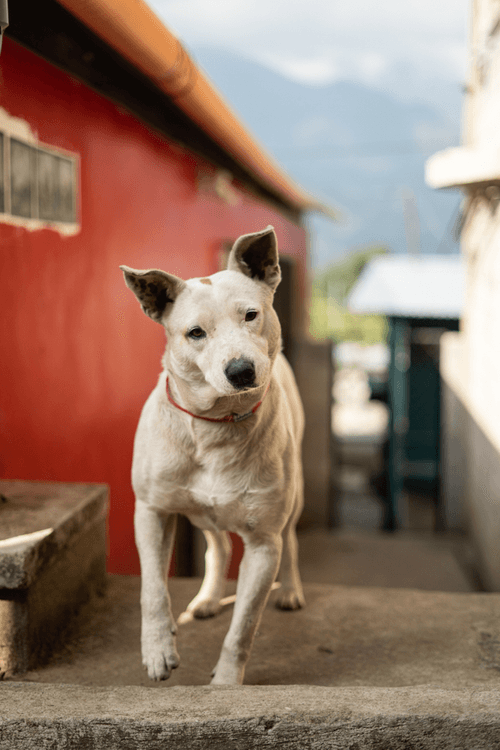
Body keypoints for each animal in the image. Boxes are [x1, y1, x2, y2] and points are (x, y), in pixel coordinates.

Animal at [121, 225, 304, 688]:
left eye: (251, 315)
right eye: (195, 333)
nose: (241, 371)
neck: (215, 427)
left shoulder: (264, 543)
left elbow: (243, 626)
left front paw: (225, 683)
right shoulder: (151, 510)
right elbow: (153, 588)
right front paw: (158, 650)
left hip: (294, 498)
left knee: (292, 539)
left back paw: (291, 590)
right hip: (199, 513)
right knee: (217, 545)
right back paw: (206, 598)